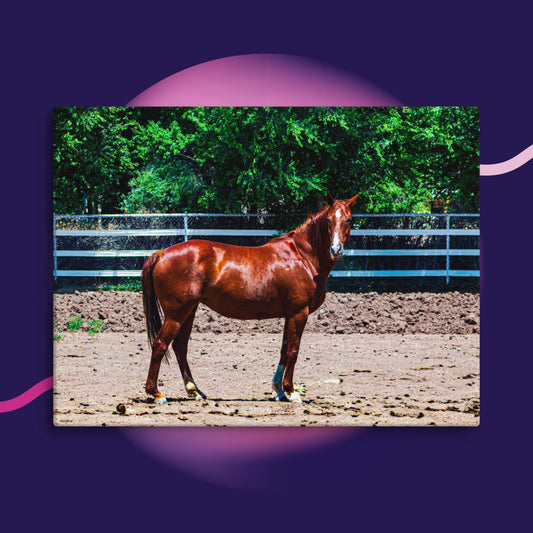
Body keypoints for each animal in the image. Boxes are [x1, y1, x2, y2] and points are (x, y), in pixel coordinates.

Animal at [141, 193, 358, 402]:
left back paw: (194, 390)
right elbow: (293, 351)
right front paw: (291, 391)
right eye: (329, 219)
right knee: (160, 345)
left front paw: (279, 390)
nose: (336, 249)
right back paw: (156, 394)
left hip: (189, 311)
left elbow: (284, 350)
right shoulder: (299, 313)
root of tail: (161, 253)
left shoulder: (289, 315)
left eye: (348, 219)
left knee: (180, 347)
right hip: (176, 314)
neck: (302, 257)